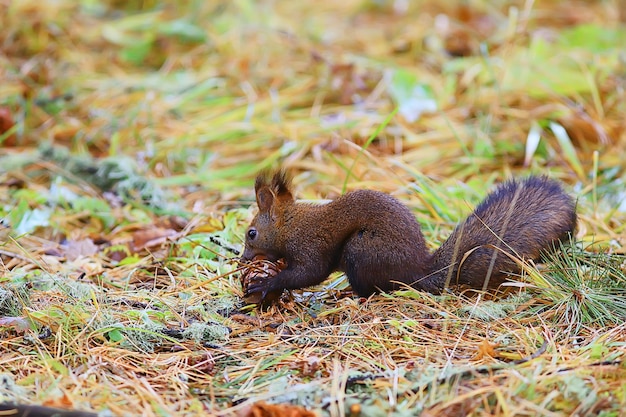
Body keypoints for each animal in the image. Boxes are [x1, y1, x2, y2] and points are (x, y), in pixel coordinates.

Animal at [240, 169, 576, 300]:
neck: (290, 225)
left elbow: (309, 273)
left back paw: (350, 294)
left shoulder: (311, 246)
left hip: (361, 250)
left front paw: (266, 283)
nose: (242, 259)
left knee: (376, 288)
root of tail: (419, 270)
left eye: (251, 233)